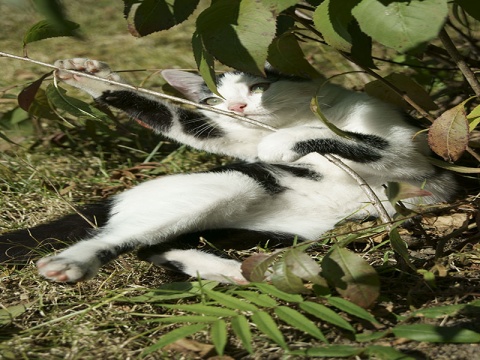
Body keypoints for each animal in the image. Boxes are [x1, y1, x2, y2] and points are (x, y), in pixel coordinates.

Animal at [0, 59, 458, 284]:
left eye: (258, 86)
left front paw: (280, 142)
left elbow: (350, 139)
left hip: (273, 226)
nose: (237, 106)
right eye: (215, 99)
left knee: (155, 247)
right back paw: (72, 262)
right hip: (229, 186)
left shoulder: (416, 159)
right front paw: (88, 77)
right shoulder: (231, 139)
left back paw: (236, 272)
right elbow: (182, 122)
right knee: (126, 239)